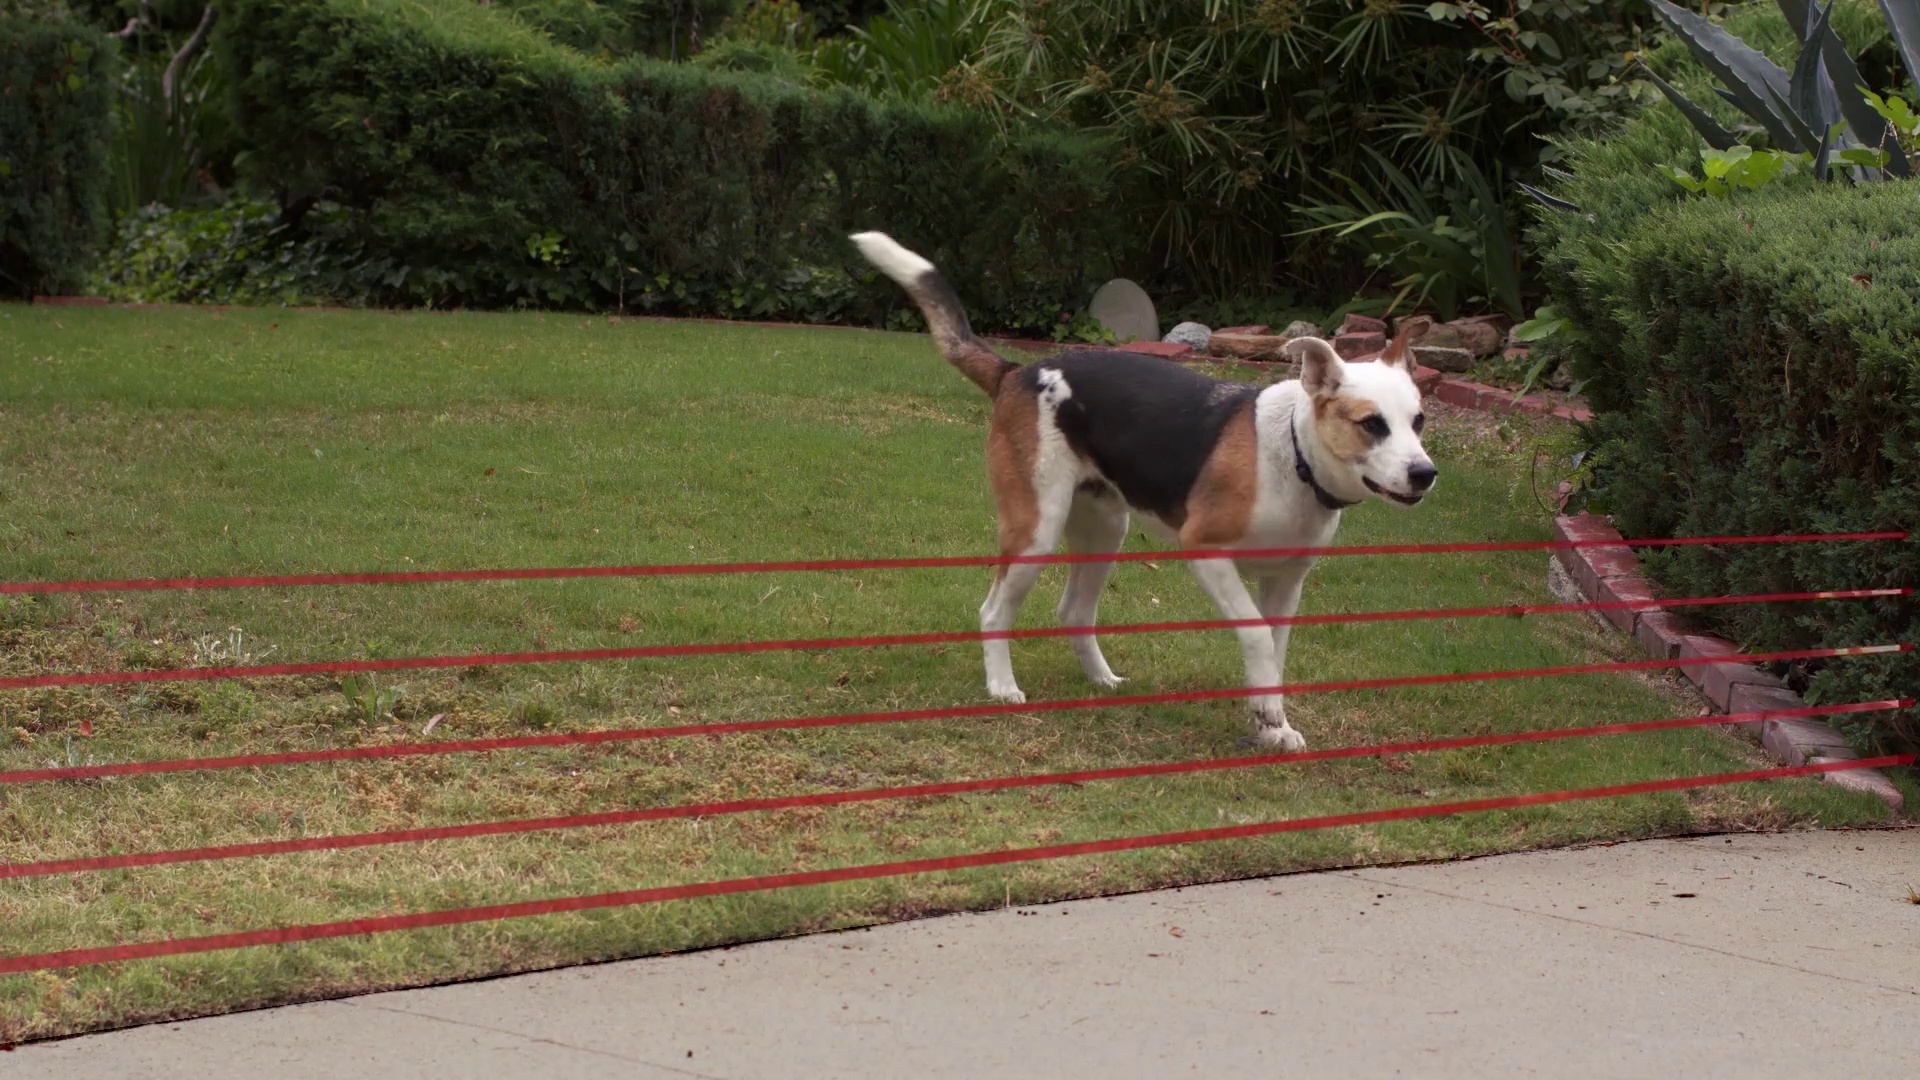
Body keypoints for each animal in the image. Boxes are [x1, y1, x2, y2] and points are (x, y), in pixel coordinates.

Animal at [856, 228, 1443, 749]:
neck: (1291, 456)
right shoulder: (1204, 550)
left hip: (1104, 531)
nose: (1425, 473)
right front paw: (1268, 719)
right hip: (1035, 531)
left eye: (1418, 421)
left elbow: (1272, 656)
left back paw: (1101, 679)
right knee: (993, 611)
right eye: (1371, 424)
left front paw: (1271, 724)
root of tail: (1018, 371)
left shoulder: (1286, 581)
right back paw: (1002, 686)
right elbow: (1255, 635)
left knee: (1074, 611)